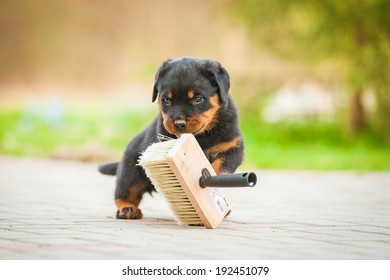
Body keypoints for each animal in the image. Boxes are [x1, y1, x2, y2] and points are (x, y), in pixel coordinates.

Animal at [98, 57, 244, 219]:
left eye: (198, 99)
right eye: (167, 100)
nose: (179, 123)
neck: (201, 136)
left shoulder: (232, 147)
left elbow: (219, 167)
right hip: (130, 172)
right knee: (124, 192)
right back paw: (127, 208)